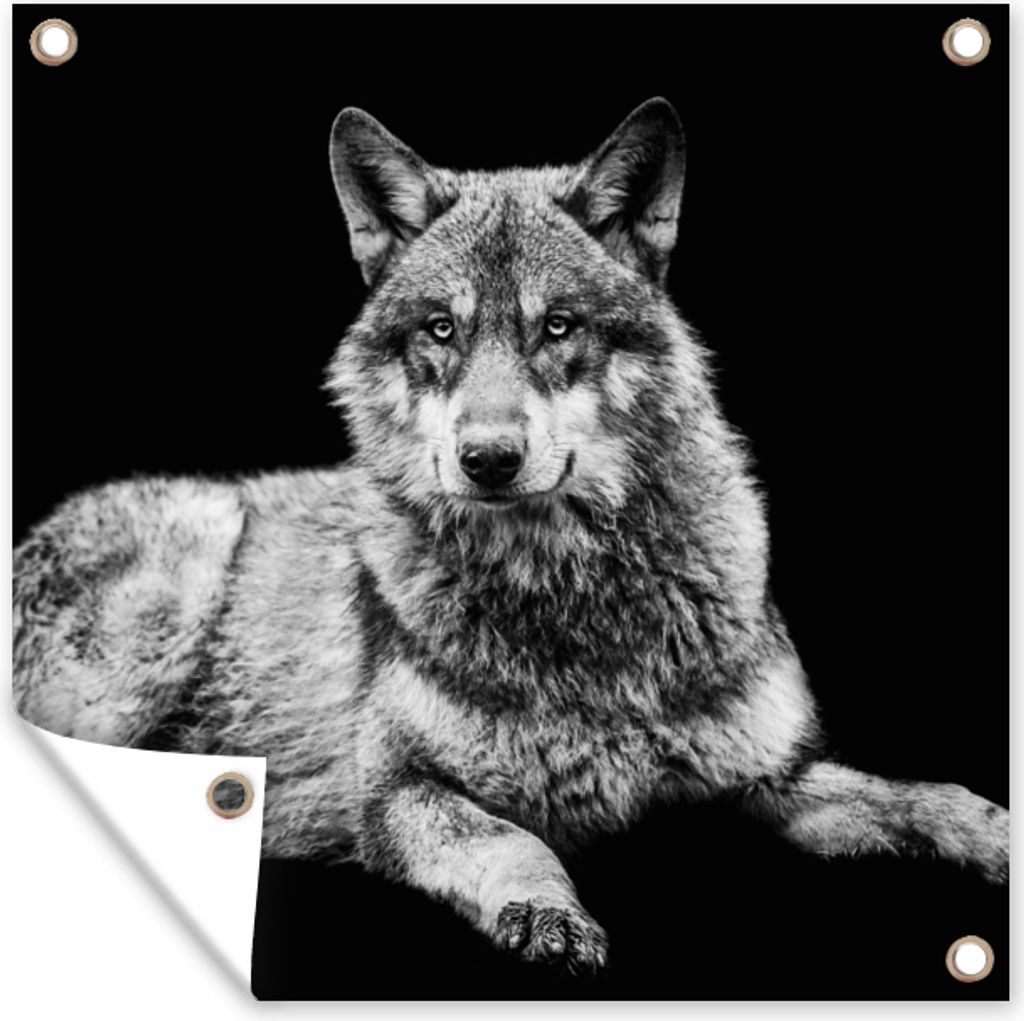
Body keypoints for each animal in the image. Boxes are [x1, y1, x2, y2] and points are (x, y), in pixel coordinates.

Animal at [13, 98, 1008, 974]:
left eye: (557, 326)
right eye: (442, 329)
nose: (487, 459)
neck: (572, 600)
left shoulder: (771, 778)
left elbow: (921, 795)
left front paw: (994, 832)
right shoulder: (398, 792)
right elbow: (512, 837)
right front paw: (548, 912)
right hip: (165, 604)